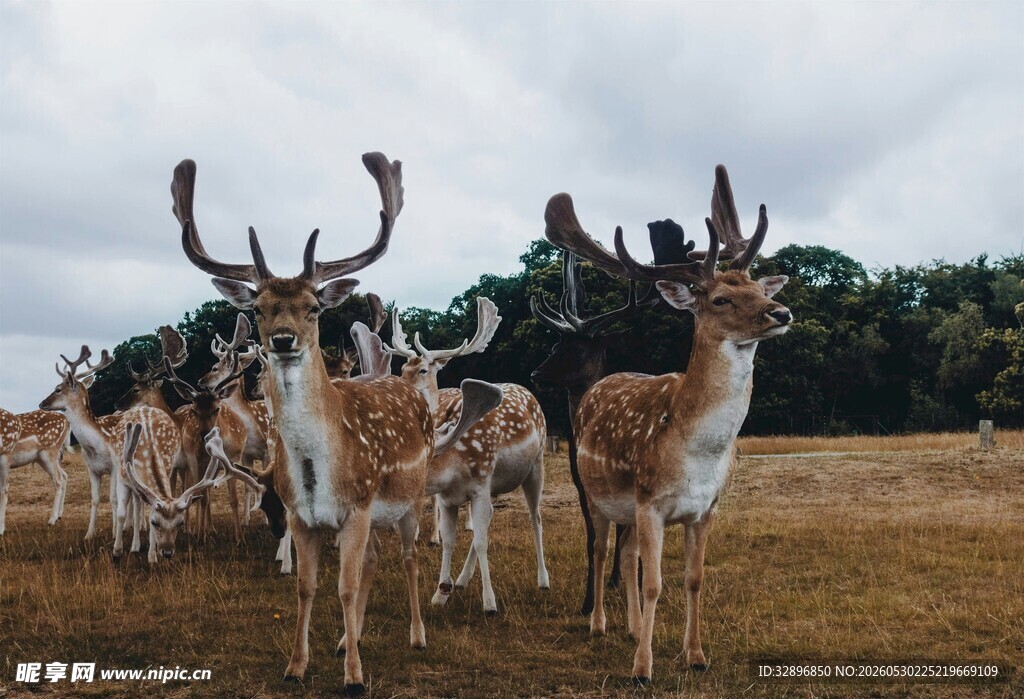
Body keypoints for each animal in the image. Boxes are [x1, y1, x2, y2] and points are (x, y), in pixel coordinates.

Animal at [39, 346, 180, 557]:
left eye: (58, 389)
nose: (41, 403)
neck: (95, 444)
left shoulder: (114, 468)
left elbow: (114, 500)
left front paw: (115, 533)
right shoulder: (91, 469)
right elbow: (95, 499)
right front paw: (89, 535)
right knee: (136, 499)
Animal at [174, 151, 502, 694]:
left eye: (312, 307)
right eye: (259, 308)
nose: (283, 338)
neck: (319, 469)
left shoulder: (357, 507)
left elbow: (345, 588)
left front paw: (354, 678)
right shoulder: (302, 515)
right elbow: (308, 588)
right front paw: (297, 665)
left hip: (409, 498)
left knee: (409, 558)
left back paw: (416, 634)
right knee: (373, 560)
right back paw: (349, 640)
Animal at [386, 298, 549, 614]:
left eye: (423, 370)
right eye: (401, 368)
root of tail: (528, 391)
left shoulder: (480, 485)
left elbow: (482, 541)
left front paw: (489, 603)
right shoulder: (451, 497)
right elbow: (452, 541)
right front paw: (440, 593)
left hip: (536, 465)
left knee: (535, 517)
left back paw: (543, 580)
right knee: (489, 521)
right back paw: (461, 580)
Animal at [530, 249, 659, 615]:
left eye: (576, 348)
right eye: (554, 345)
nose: (535, 373)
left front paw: (632, 584)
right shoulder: (580, 483)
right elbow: (593, 538)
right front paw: (588, 602)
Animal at [543, 164, 792, 684]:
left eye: (760, 290)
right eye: (720, 299)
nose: (781, 311)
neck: (695, 454)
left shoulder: (706, 508)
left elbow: (692, 579)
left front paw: (695, 656)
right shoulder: (651, 501)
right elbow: (655, 583)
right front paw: (643, 669)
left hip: (627, 507)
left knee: (626, 554)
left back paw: (635, 629)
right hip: (597, 493)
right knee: (601, 549)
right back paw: (599, 624)